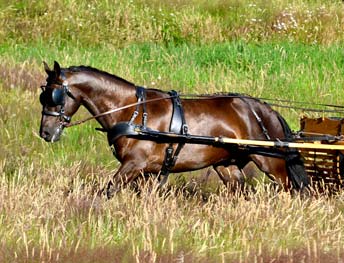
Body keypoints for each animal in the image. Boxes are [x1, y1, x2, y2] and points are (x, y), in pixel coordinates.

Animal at [38, 62, 310, 198]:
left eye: (54, 95)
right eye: (43, 95)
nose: (45, 133)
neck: (133, 111)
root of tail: (265, 110)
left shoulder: (134, 164)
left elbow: (109, 189)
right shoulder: (147, 172)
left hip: (270, 162)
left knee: (289, 189)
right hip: (227, 165)